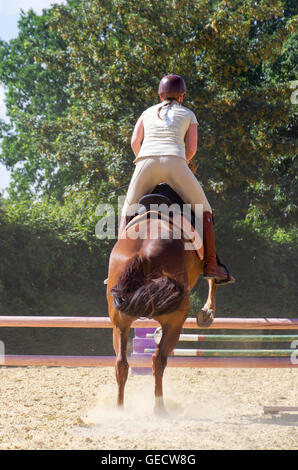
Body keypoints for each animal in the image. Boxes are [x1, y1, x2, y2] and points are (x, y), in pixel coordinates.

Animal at [106, 184, 218, 414]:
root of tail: (142, 251)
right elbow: (212, 278)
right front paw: (207, 312)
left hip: (120, 321)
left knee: (121, 363)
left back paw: (119, 409)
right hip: (174, 320)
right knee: (158, 359)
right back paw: (159, 408)